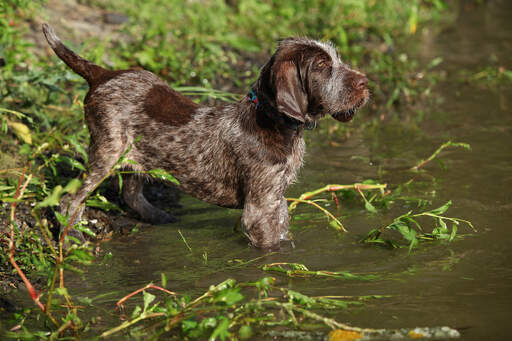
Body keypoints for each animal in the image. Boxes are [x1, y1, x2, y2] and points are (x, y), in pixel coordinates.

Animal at [41, 23, 368, 247]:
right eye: (322, 67)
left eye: (337, 59)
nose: (365, 82)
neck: (274, 121)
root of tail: (103, 74)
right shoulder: (260, 208)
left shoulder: (277, 200)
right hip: (107, 151)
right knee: (71, 199)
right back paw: (70, 237)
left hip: (136, 153)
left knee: (131, 192)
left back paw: (160, 217)